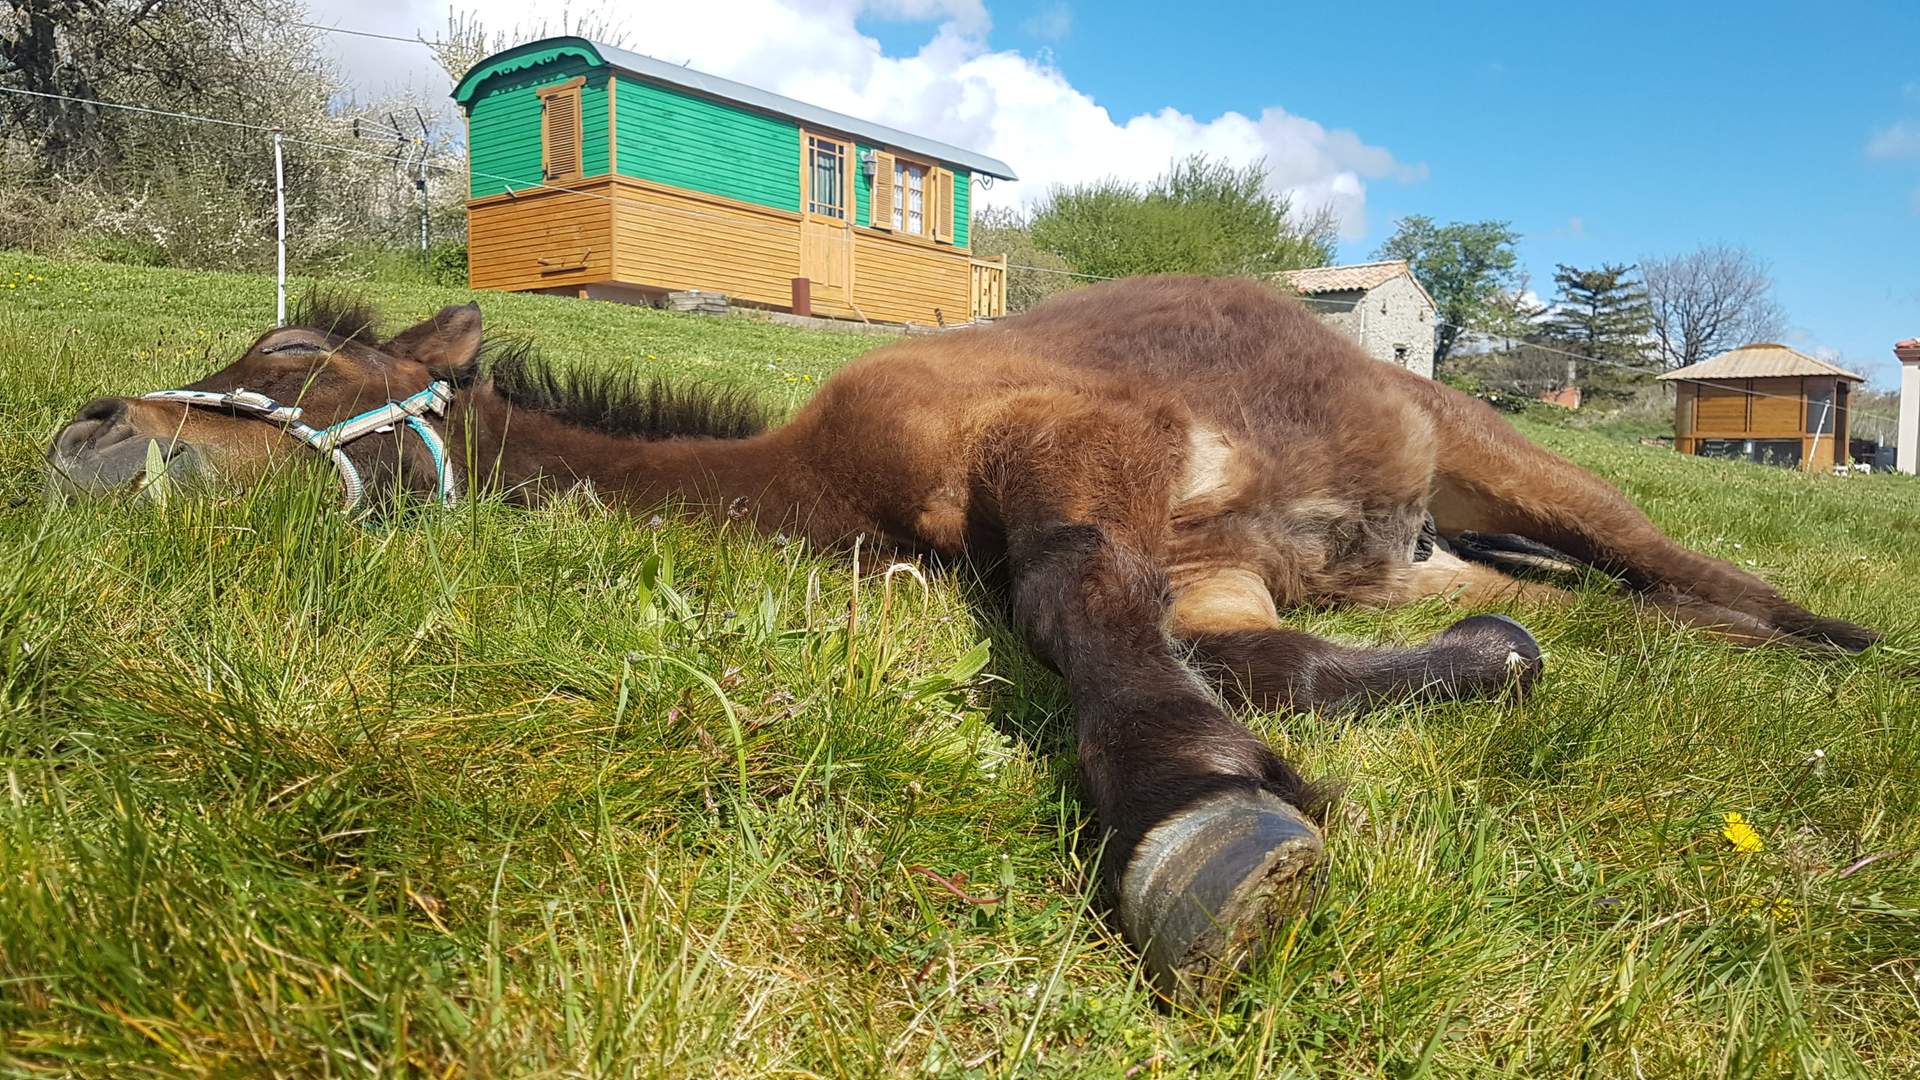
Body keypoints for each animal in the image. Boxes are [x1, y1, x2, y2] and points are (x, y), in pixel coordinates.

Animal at [45, 275, 1877, 998]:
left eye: (296, 370)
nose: (80, 440)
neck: (832, 475)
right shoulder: (1214, 571)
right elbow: (1265, 660)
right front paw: (1477, 677)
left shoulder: (1067, 452)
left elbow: (1072, 598)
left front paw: (1196, 821)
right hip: (1411, 550)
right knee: (1615, 601)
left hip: (1502, 453)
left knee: (1669, 558)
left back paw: (1836, 649)